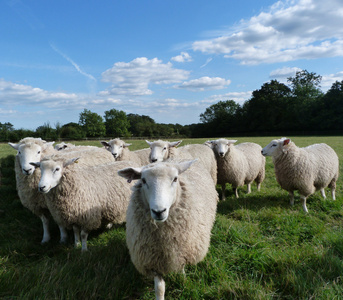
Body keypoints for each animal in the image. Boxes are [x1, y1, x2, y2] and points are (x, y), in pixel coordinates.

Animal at [118, 161, 218, 300]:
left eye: (175, 179)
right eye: (143, 180)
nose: (159, 211)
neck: (165, 238)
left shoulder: (181, 251)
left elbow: (181, 269)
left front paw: (183, 280)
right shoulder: (152, 260)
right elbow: (159, 288)